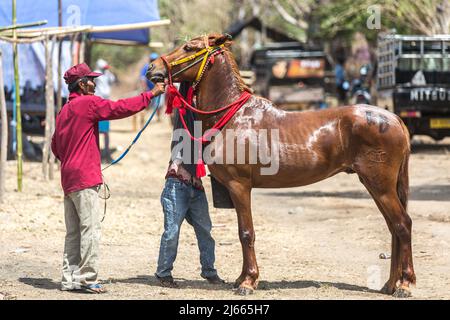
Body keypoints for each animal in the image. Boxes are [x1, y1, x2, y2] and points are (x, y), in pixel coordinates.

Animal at [147, 33, 414, 296]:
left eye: (188, 47)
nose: (152, 68)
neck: (235, 116)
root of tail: (394, 119)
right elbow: (244, 232)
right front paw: (242, 278)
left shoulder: (239, 186)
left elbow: (246, 233)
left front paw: (248, 282)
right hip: (377, 186)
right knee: (393, 227)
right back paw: (390, 284)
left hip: (380, 185)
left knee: (402, 224)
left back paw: (404, 284)